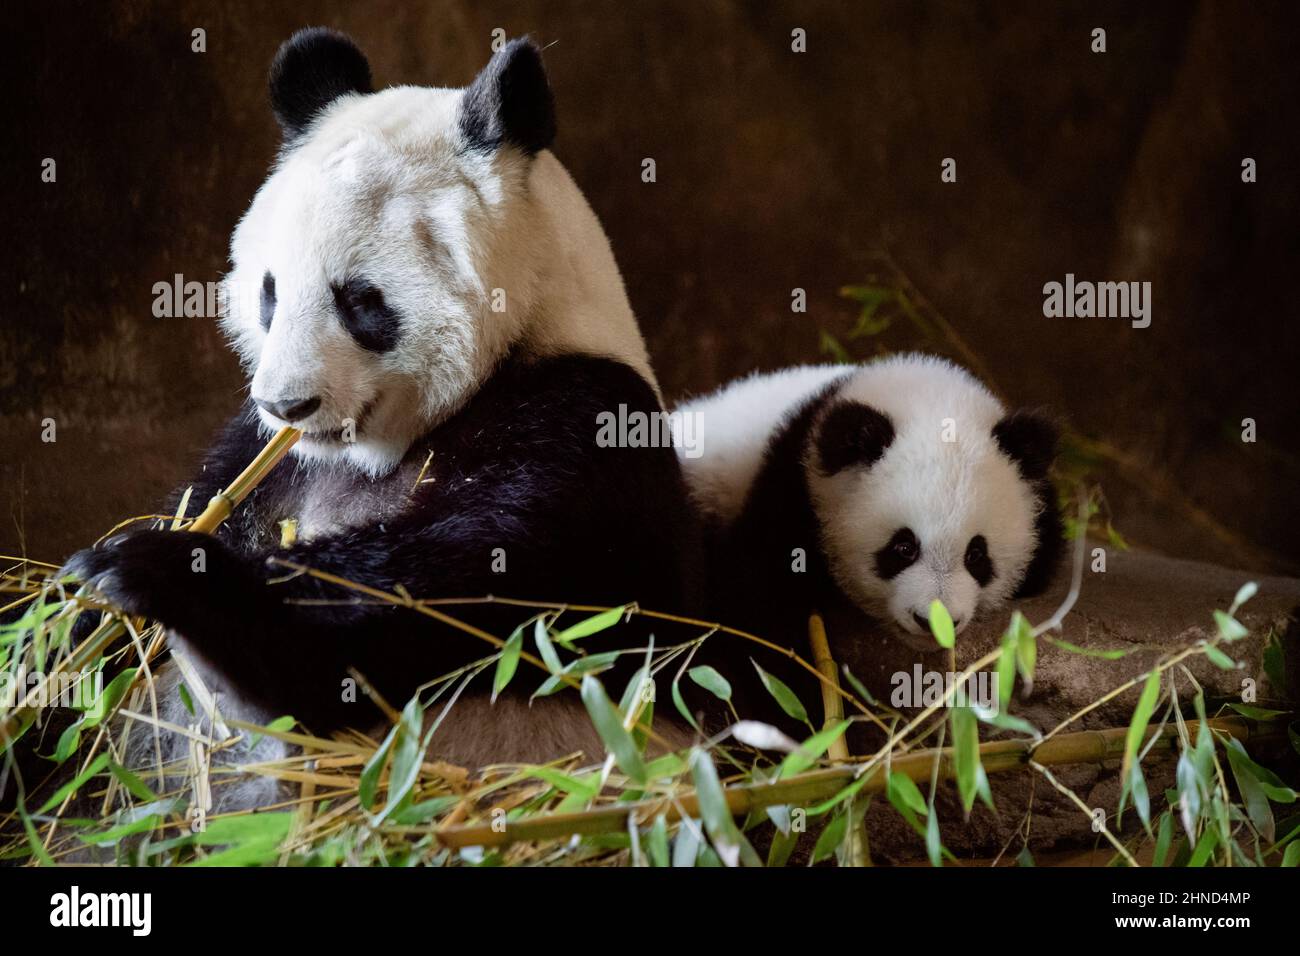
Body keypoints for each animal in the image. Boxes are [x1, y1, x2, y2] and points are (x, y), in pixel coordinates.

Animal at [64, 28, 697, 809]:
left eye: (361, 300)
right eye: (270, 291)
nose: (289, 404)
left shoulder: (583, 426)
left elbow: (442, 589)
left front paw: (151, 572)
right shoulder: (258, 456)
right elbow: (208, 500)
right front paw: (72, 621)